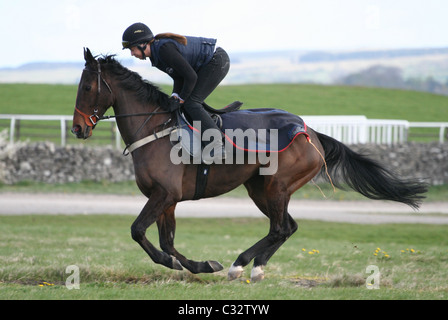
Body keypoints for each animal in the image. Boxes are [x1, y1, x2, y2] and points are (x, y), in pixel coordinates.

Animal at [71, 48, 428, 282]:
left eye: (87, 87)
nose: (77, 129)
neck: (155, 130)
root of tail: (312, 132)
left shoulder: (164, 194)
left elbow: (138, 231)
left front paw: (175, 263)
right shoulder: (167, 199)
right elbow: (166, 240)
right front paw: (200, 265)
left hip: (277, 185)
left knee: (281, 227)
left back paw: (242, 264)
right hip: (260, 188)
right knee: (287, 227)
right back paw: (255, 265)